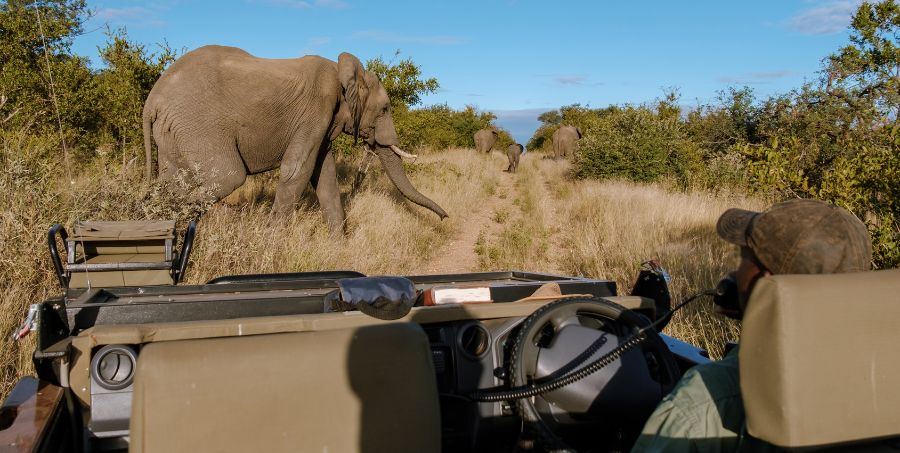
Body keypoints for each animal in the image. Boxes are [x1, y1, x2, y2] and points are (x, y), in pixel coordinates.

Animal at [143, 45, 447, 234]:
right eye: (384, 109)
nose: (445, 218)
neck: (342, 71)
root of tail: (152, 101)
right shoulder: (317, 108)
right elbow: (297, 170)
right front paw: (272, 243)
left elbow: (324, 175)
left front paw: (337, 245)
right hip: (198, 124)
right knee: (228, 176)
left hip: (174, 132)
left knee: (170, 182)